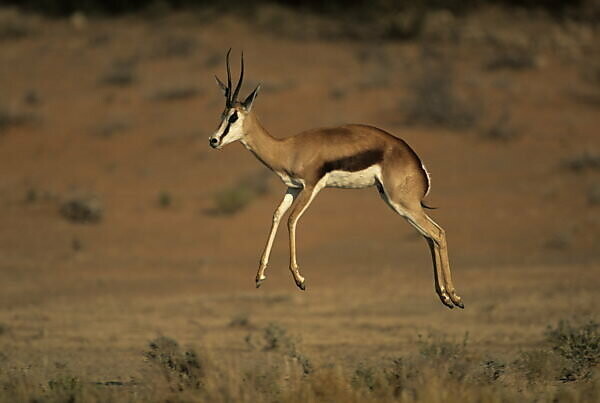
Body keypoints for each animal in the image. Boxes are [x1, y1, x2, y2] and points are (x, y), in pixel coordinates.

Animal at [210, 50, 464, 310]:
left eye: (234, 116)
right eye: (222, 114)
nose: (214, 140)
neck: (288, 148)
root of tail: (417, 163)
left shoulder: (311, 187)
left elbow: (291, 220)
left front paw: (300, 279)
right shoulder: (292, 188)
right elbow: (277, 216)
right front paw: (260, 276)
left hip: (403, 203)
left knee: (438, 233)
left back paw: (454, 297)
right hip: (395, 203)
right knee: (429, 237)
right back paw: (444, 297)